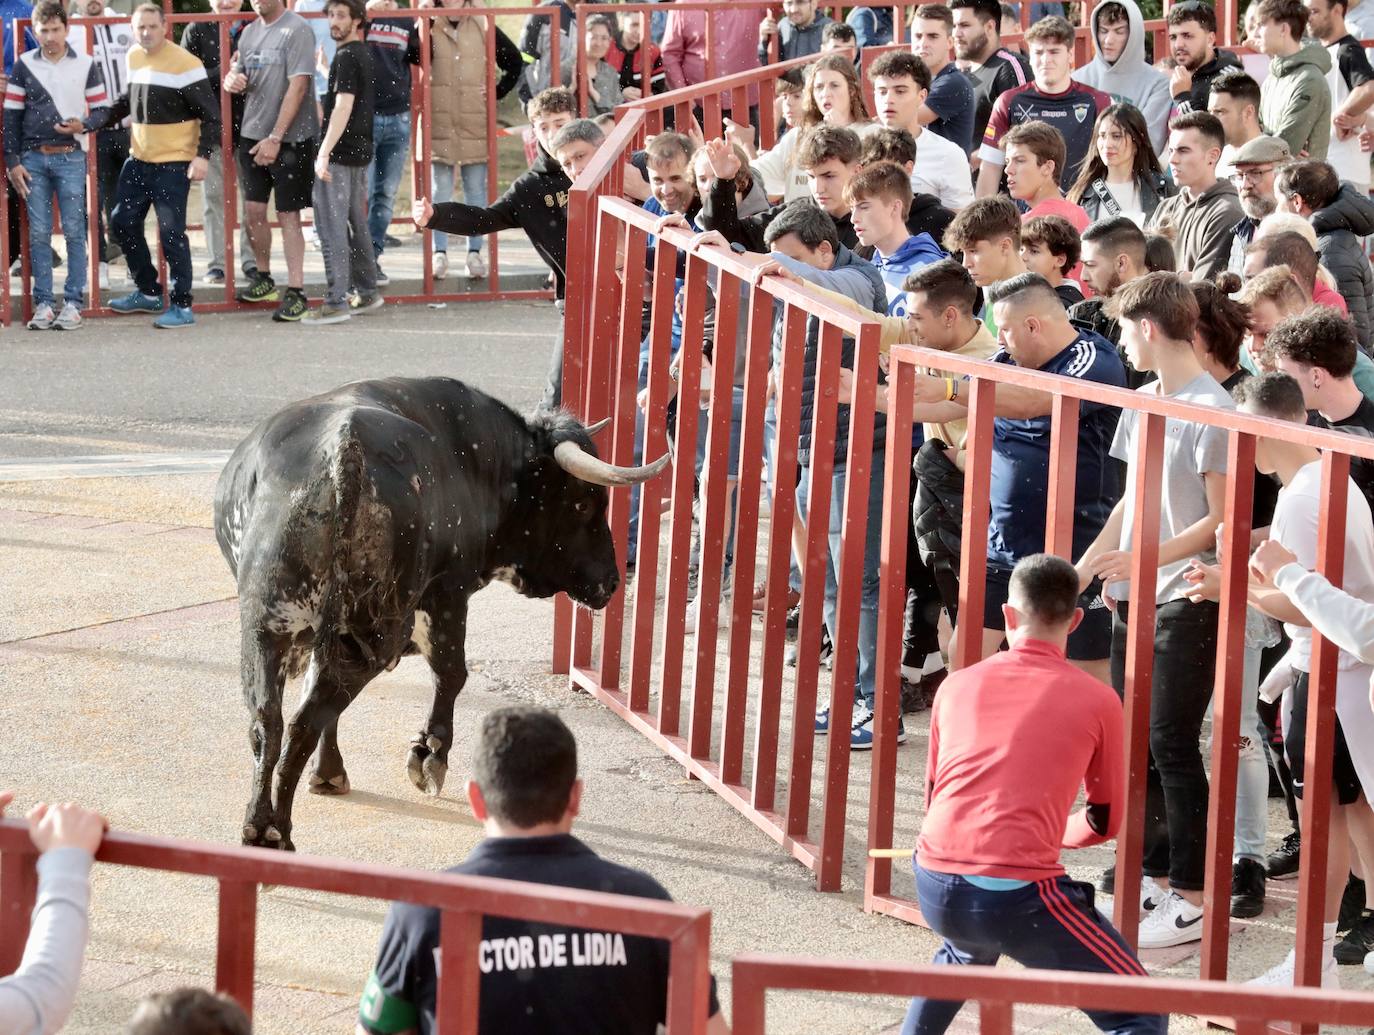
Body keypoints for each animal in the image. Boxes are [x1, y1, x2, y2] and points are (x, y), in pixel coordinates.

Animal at [211, 376, 667, 846]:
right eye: (582, 503)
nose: (612, 581)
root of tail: (343, 449)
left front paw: (330, 773)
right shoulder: (448, 596)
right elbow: (451, 674)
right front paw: (430, 754)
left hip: (267, 626)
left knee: (270, 722)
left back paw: (258, 824)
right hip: (376, 631)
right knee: (306, 719)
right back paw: (277, 830)